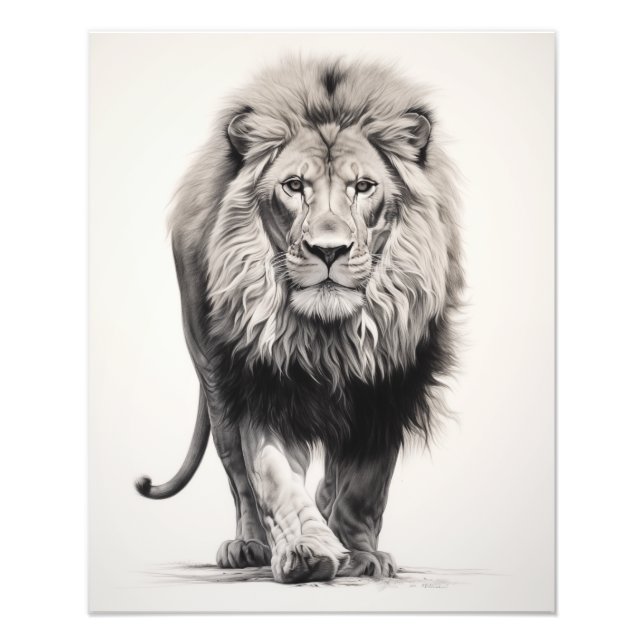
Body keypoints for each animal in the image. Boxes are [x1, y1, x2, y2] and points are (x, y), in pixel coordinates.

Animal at [135, 57, 464, 584]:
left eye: (363, 187)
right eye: (294, 186)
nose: (329, 250)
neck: (329, 334)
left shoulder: (386, 389)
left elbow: (365, 485)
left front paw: (361, 554)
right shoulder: (262, 377)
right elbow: (271, 475)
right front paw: (308, 552)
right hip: (214, 381)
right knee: (238, 476)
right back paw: (248, 545)